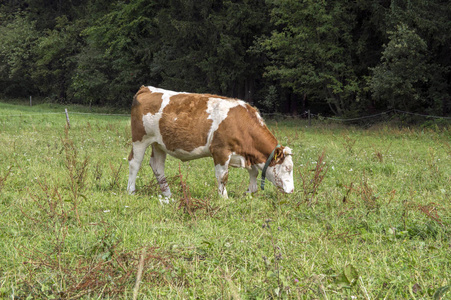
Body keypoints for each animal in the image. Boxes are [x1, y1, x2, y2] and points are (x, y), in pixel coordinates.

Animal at [128, 85, 296, 202]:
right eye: (287, 168)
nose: (292, 190)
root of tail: (146, 88)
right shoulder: (221, 151)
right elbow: (223, 176)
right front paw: (224, 198)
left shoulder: (245, 154)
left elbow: (253, 172)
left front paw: (250, 192)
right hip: (140, 139)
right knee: (134, 163)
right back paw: (131, 191)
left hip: (159, 144)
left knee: (157, 166)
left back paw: (168, 195)